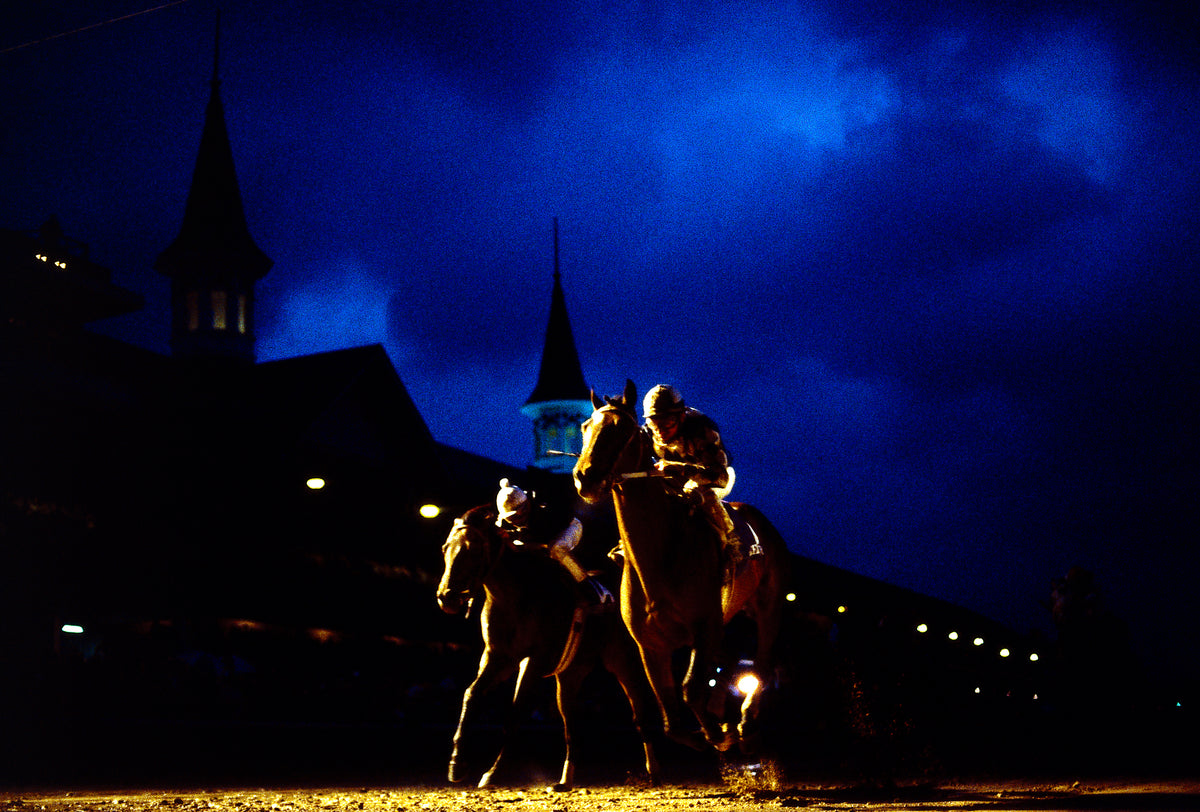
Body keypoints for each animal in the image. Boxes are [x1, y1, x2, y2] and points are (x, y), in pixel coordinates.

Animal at [434, 503, 662, 786]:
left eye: (472, 549)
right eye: (445, 548)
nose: (447, 597)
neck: (515, 597)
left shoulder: (534, 659)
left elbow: (517, 710)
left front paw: (493, 772)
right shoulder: (497, 656)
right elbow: (471, 694)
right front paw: (456, 764)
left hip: (623, 661)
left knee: (640, 710)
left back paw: (653, 771)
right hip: (571, 673)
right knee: (570, 720)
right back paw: (566, 779)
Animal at [568, 379, 787, 753]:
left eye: (621, 428)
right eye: (586, 426)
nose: (585, 478)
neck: (658, 559)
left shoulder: (705, 626)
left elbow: (691, 689)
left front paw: (721, 733)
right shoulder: (650, 644)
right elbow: (671, 717)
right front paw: (707, 730)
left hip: (768, 607)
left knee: (762, 662)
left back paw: (745, 720)